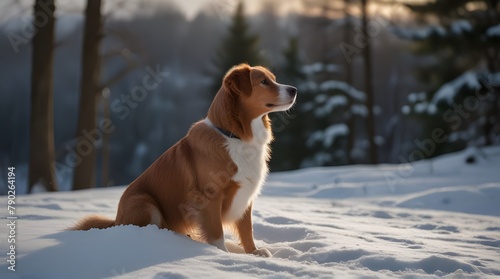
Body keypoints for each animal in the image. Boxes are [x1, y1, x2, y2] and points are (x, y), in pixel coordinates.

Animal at [70, 63, 296, 258]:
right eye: (264, 82)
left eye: (274, 79)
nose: (294, 89)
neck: (236, 136)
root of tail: (116, 220)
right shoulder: (209, 197)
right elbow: (217, 233)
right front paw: (222, 256)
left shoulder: (245, 194)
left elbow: (247, 230)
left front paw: (253, 253)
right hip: (144, 202)